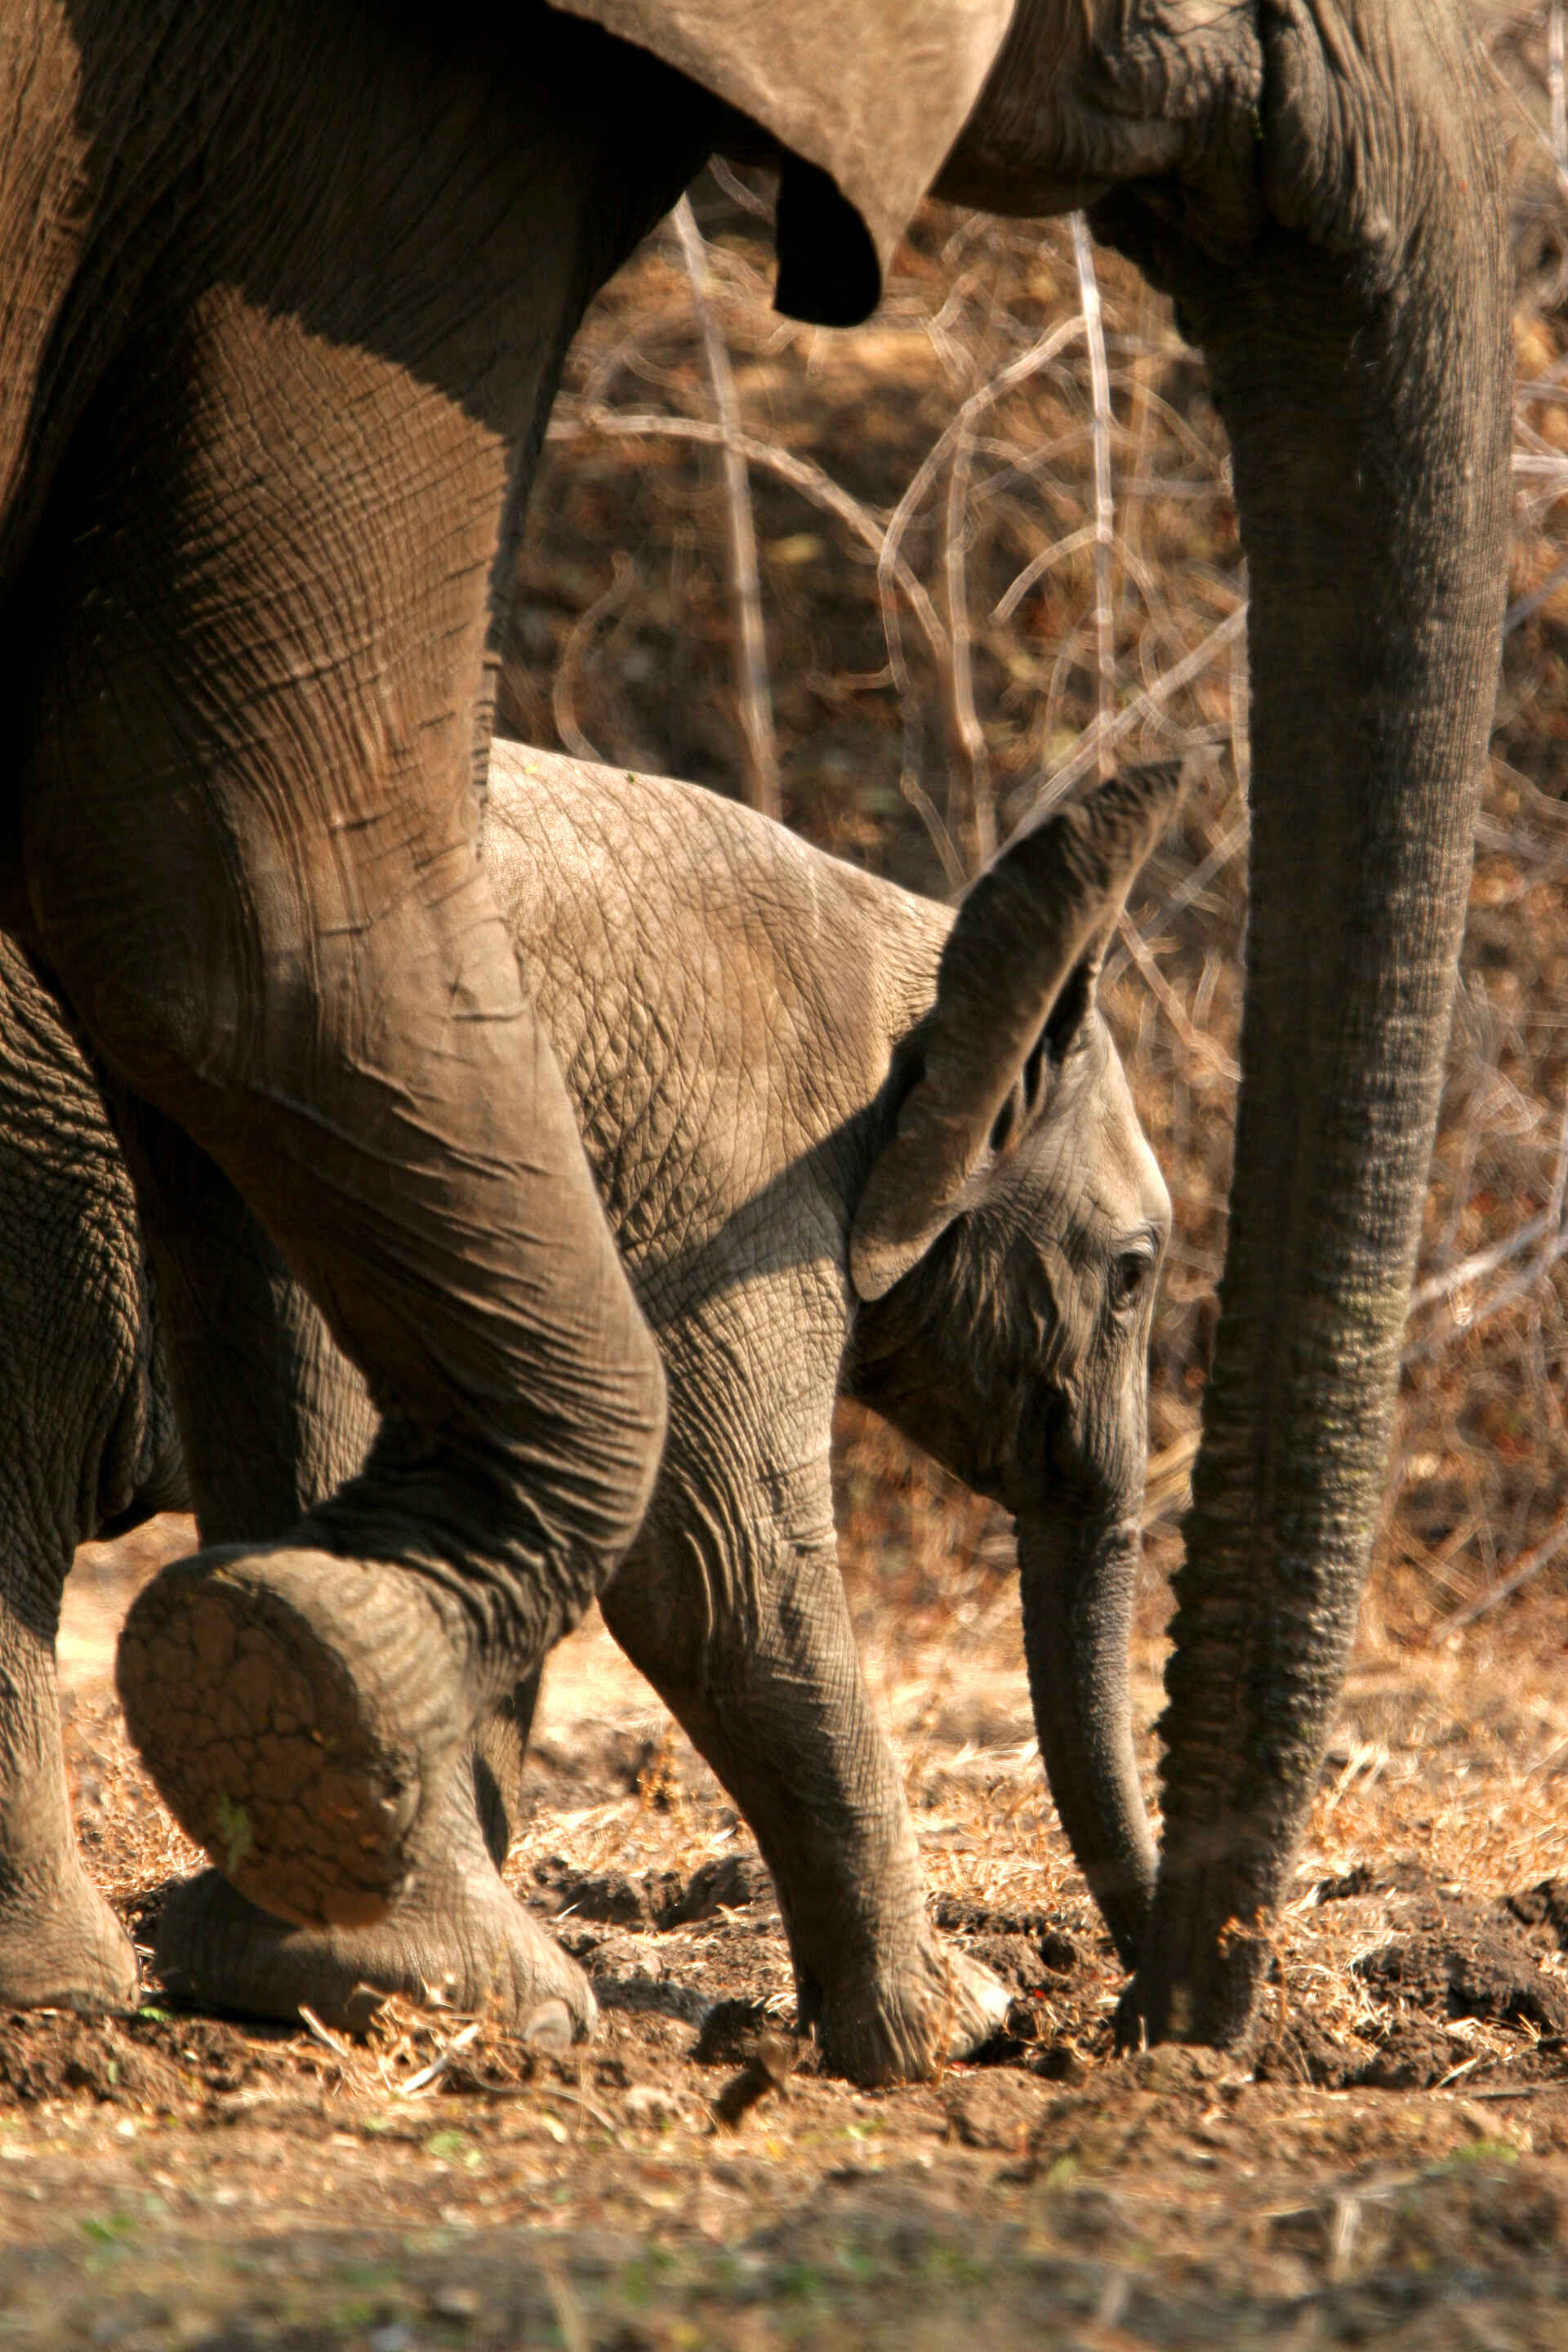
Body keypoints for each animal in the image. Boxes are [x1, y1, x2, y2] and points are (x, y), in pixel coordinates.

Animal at [0, 742, 1174, 2084]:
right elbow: (714, 1576)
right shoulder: (715, 1179)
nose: (1122, 2009)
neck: (914, 942)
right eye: (1133, 1274)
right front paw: (951, 2031)